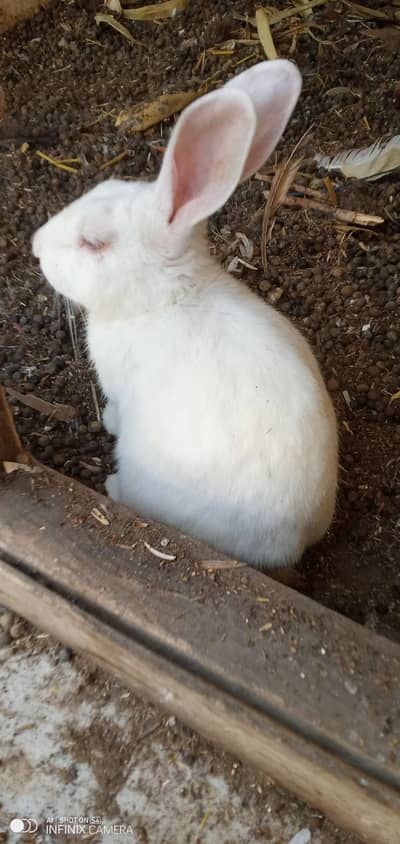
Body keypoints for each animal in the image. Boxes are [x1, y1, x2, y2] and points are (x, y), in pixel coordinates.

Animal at [32, 60, 338, 568]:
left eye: (93, 243)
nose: (35, 246)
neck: (165, 296)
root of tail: (288, 544)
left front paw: (108, 422)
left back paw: (113, 485)